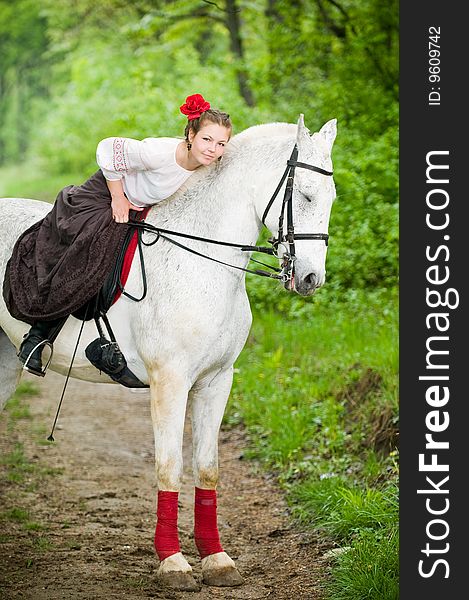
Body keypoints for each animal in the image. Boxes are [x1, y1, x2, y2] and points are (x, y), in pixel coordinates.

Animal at [0, 116, 336, 592]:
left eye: (332, 197)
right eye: (305, 195)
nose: (310, 278)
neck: (206, 262)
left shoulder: (216, 381)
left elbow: (207, 467)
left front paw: (216, 559)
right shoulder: (170, 382)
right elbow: (169, 466)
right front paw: (173, 562)